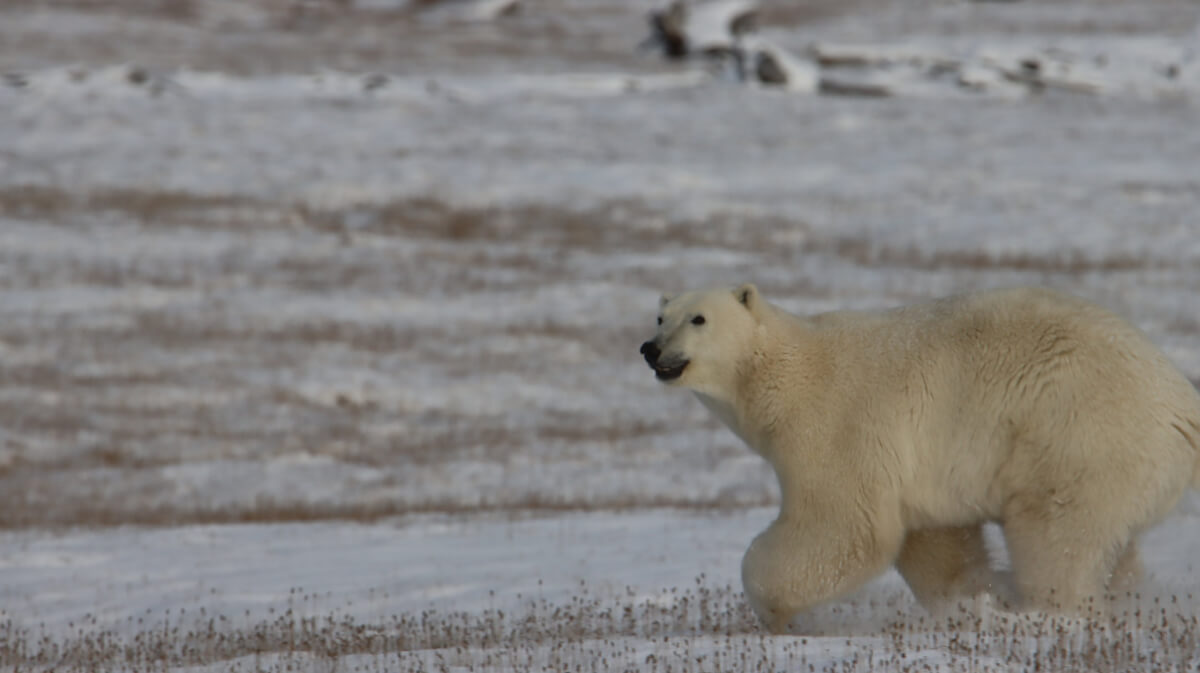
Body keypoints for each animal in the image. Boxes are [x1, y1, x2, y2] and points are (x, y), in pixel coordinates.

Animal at [638, 283, 1200, 628]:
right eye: (660, 315)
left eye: (699, 318)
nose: (651, 348)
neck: (782, 374)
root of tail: (1182, 403)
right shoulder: (919, 475)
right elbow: (936, 542)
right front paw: (972, 597)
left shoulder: (837, 424)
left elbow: (845, 526)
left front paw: (773, 608)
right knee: (1111, 546)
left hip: (1078, 434)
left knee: (1057, 539)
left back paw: (1049, 609)